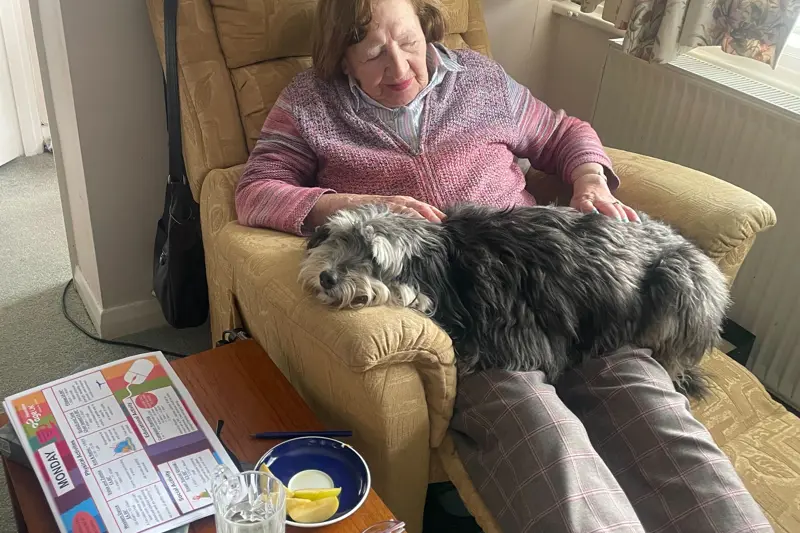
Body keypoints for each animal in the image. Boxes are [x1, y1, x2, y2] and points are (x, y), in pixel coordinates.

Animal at [299, 203, 730, 399]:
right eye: (340, 238)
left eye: (373, 258)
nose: (326, 277)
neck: (452, 268)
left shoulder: (520, 341)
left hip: (680, 279)